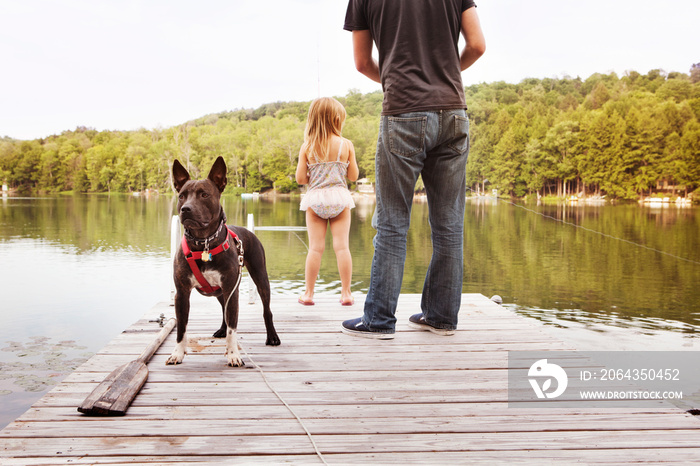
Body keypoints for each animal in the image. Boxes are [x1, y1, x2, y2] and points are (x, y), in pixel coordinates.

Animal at [167, 157, 278, 368]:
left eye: (204, 194)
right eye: (182, 196)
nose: (186, 209)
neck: (203, 243)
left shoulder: (231, 290)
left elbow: (233, 329)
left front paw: (233, 354)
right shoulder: (182, 293)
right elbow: (181, 329)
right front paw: (177, 353)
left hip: (260, 278)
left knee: (266, 310)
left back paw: (273, 337)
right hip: (219, 291)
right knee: (223, 310)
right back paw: (221, 330)